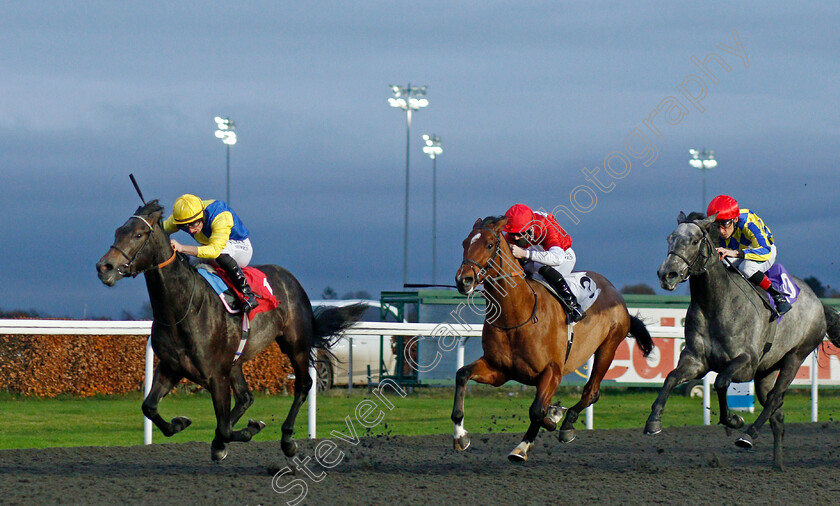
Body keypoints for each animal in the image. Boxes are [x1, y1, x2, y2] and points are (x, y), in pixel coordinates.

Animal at [95, 200, 364, 460]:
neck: (183, 310)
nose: (104, 267)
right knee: (246, 397)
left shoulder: (216, 375)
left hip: (295, 344)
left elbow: (224, 427)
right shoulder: (172, 366)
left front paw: (246, 431)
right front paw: (181, 423)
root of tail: (291, 280)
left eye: (138, 234)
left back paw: (287, 440)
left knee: (303, 384)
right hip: (235, 360)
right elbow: (149, 407)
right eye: (118, 231)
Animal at [452, 215, 656, 460]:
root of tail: (614, 291)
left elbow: (537, 411)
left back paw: (565, 425)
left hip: (608, 347)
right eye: (464, 243)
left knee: (591, 392)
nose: (463, 279)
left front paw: (542, 428)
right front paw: (460, 436)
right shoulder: (498, 370)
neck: (517, 316)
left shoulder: (552, 370)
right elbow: (462, 375)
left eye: (490, 244)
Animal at [644, 211, 840, 468]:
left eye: (695, 241)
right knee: (776, 411)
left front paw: (734, 420)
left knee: (774, 398)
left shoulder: (746, 362)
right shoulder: (696, 360)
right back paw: (778, 464)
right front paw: (653, 421)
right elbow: (671, 377)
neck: (715, 303)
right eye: (670, 239)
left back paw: (748, 435)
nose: (667, 274)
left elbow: (720, 382)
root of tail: (819, 303)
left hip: (795, 357)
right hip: (767, 371)